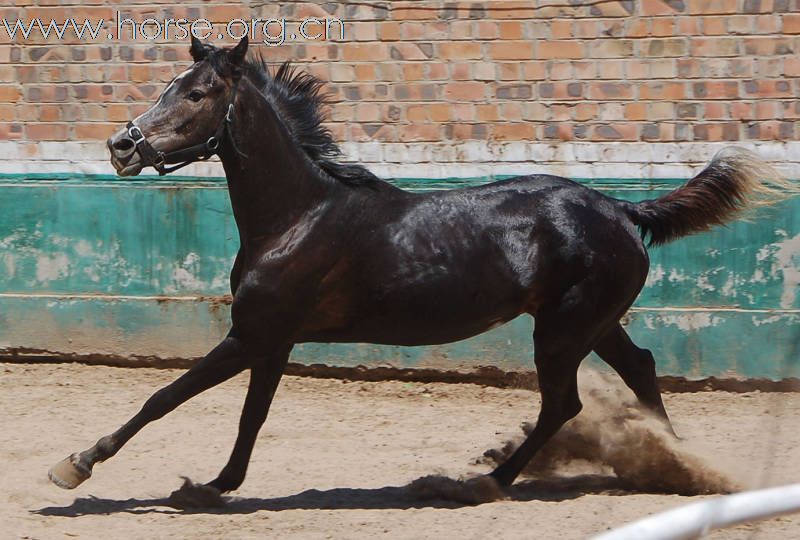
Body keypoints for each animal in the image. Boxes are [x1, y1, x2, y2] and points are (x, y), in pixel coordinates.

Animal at [51, 38, 792, 500]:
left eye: (199, 93)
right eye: (170, 85)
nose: (122, 145)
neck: (299, 215)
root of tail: (620, 208)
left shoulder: (253, 334)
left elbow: (165, 396)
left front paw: (76, 465)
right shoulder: (275, 341)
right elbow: (251, 417)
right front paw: (215, 486)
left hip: (562, 329)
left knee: (564, 402)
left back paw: (483, 484)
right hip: (591, 321)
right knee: (639, 366)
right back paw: (672, 463)